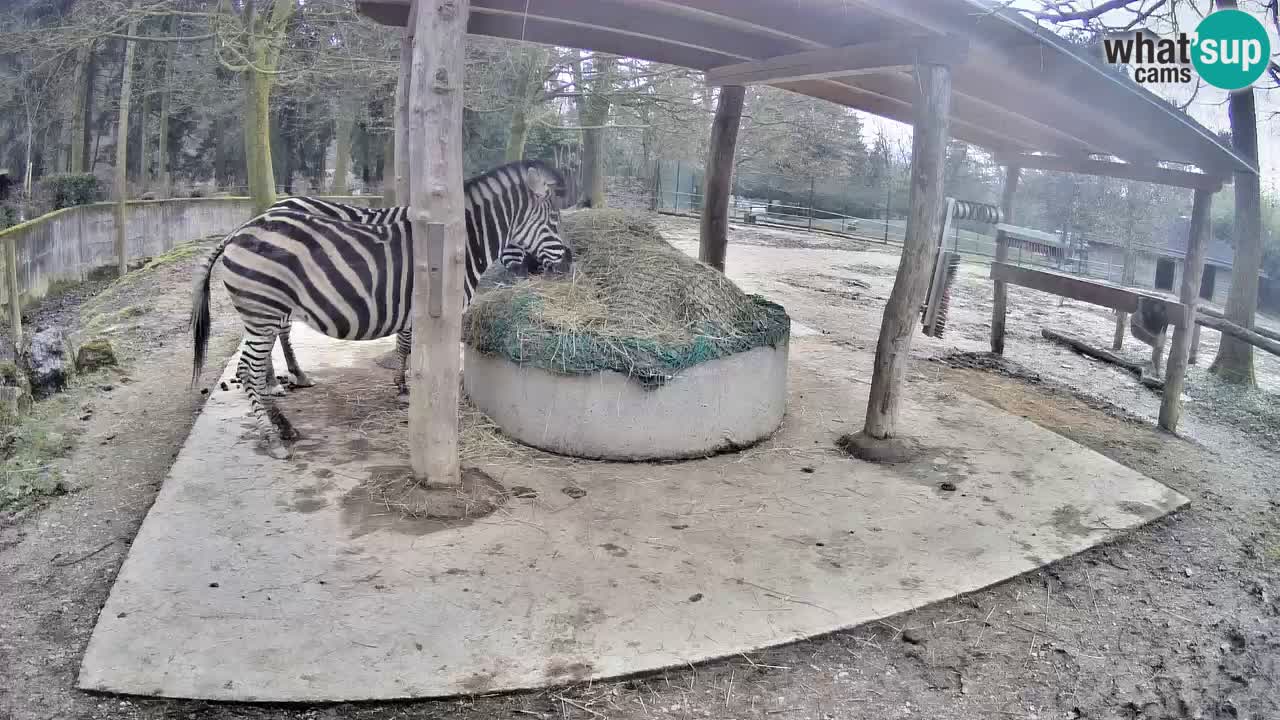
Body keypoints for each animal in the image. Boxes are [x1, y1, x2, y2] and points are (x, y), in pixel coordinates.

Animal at [256, 195, 544, 396]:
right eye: (518, 238)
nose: (537, 273)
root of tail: (276, 204)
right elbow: (407, 342)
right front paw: (403, 383)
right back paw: (273, 382)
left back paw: (292, 376)